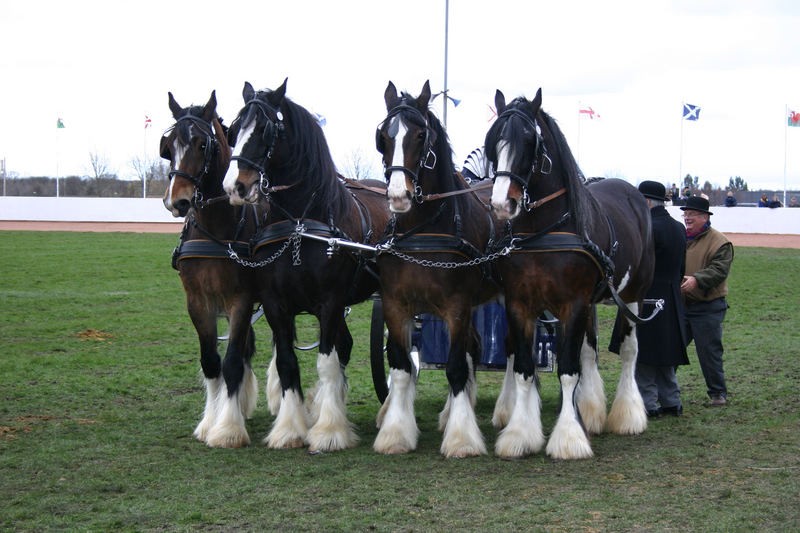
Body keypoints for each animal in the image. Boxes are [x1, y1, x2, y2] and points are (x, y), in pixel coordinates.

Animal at [161, 90, 264, 444]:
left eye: (202, 145)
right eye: (168, 147)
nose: (177, 201)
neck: (216, 228)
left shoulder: (240, 300)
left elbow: (231, 362)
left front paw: (228, 428)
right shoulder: (197, 301)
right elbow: (211, 362)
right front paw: (210, 420)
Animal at [223, 80, 390, 454]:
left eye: (266, 129)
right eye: (233, 130)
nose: (234, 186)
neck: (300, 223)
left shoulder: (329, 302)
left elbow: (326, 362)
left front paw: (328, 431)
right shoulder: (276, 304)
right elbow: (287, 363)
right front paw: (290, 429)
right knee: (345, 346)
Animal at [376, 80, 500, 458]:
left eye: (420, 135)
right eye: (383, 137)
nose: (398, 196)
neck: (423, 229)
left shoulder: (457, 306)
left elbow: (456, 367)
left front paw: (462, 439)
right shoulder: (395, 306)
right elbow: (402, 367)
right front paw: (395, 433)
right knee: (474, 347)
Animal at [484, 87, 652, 458]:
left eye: (529, 140)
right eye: (493, 140)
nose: (502, 204)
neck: (544, 232)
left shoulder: (571, 304)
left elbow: (567, 371)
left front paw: (568, 438)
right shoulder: (520, 304)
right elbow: (525, 369)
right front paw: (520, 434)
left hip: (634, 293)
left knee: (630, 351)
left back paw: (627, 414)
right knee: (589, 352)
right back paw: (592, 412)